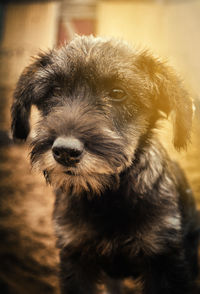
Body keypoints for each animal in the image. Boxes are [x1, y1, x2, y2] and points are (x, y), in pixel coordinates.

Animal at [10, 35, 198, 292]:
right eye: (54, 89)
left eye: (118, 92)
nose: (65, 151)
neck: (108, 196)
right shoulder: (75, 257)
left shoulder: (164, 259)